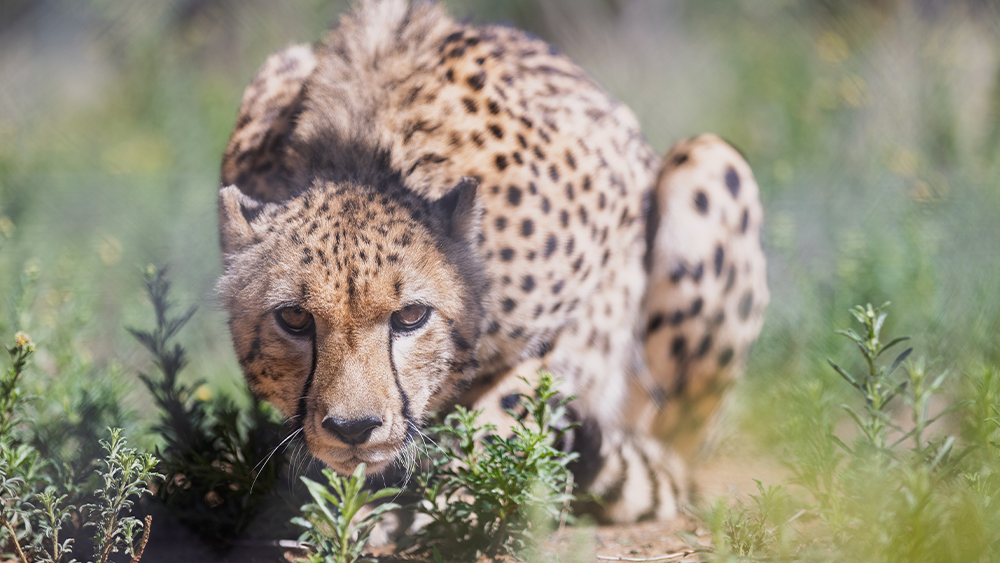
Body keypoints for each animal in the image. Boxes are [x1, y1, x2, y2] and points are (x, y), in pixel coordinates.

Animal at [217, 0, 768, 524]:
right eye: (294, 317)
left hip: (712, 163)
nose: (353, 428)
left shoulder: (602, 288)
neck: (364, 157)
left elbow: (510, 401)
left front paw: (435, 503)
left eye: (411, 316)